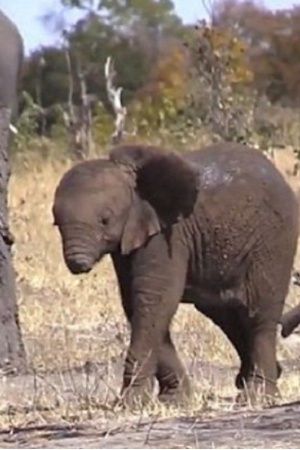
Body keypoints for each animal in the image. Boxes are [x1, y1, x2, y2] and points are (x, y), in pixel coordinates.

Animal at [52, 143, 298, 404]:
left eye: (104, 220)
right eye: (56, 223)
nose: (78, 264)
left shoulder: (167, 236)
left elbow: (155, 300)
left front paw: (131, 403)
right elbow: (136, 304)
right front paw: (174, 399)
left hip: (275, 238)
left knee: (258, 313)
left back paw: (257, 396)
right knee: (226, 314)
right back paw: (256, 379)